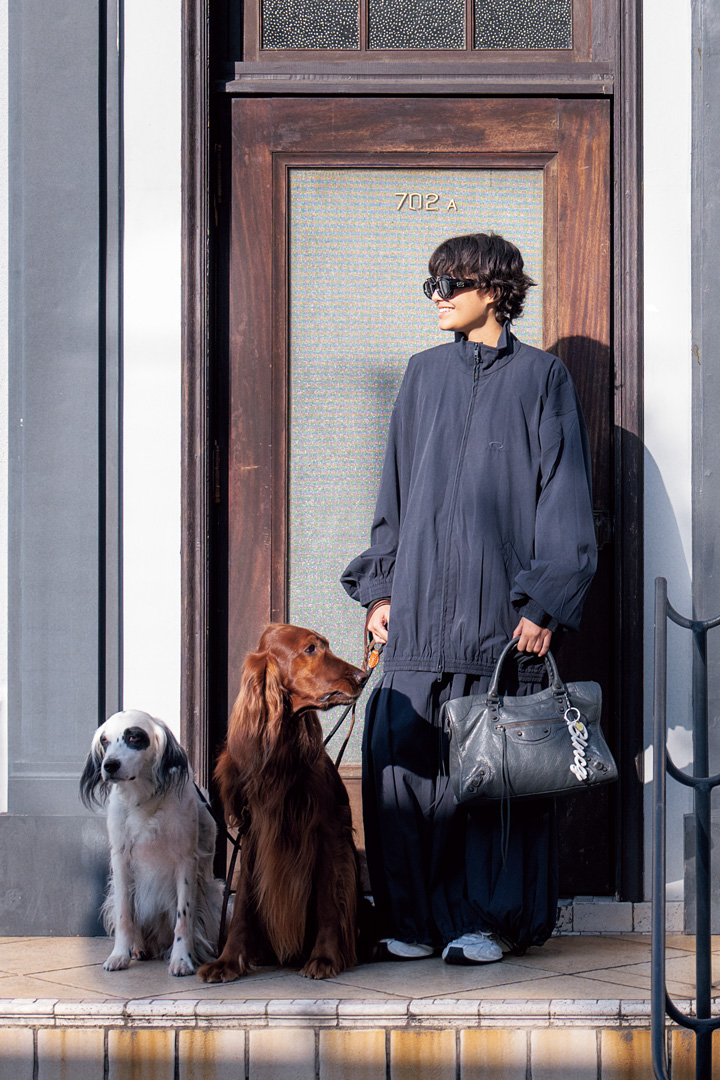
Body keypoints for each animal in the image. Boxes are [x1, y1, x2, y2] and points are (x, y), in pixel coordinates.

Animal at [80, 710, 223, 976]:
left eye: (134, 737)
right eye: (105, 741)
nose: (109, 765)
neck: (144, 801)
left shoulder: (186, 861)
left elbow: (184, 918)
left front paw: (181, 959)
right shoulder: (120, 860)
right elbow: (124, 916)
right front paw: (119, 955)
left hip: (214, 897)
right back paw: (138, 949)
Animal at [198, 624, 369, 982]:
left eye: (325, 645)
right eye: (310, 649)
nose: (362, 676)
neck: (281, 748)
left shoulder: (326, 834)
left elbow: (327, 902)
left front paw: (324, 958)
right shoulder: (253, 834)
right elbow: (244, 902)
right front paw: (228, 961)